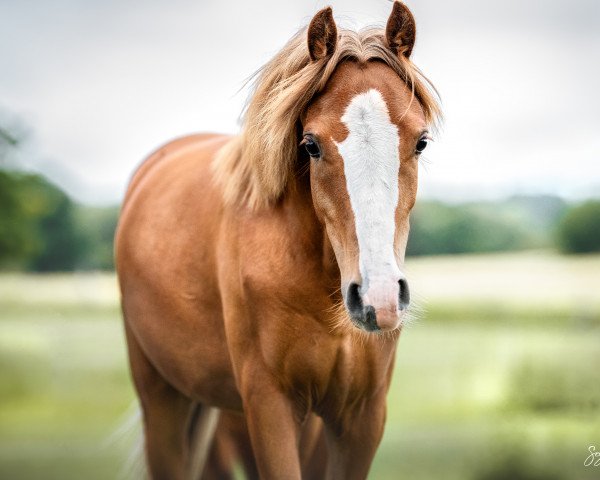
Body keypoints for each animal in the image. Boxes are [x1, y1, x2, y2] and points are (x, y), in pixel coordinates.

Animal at [115, 1, 440, 478]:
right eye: (310, 145)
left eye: (420, 141)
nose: (377, 298)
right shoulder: (270, 407)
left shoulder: (361, 418)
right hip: (163, 403)